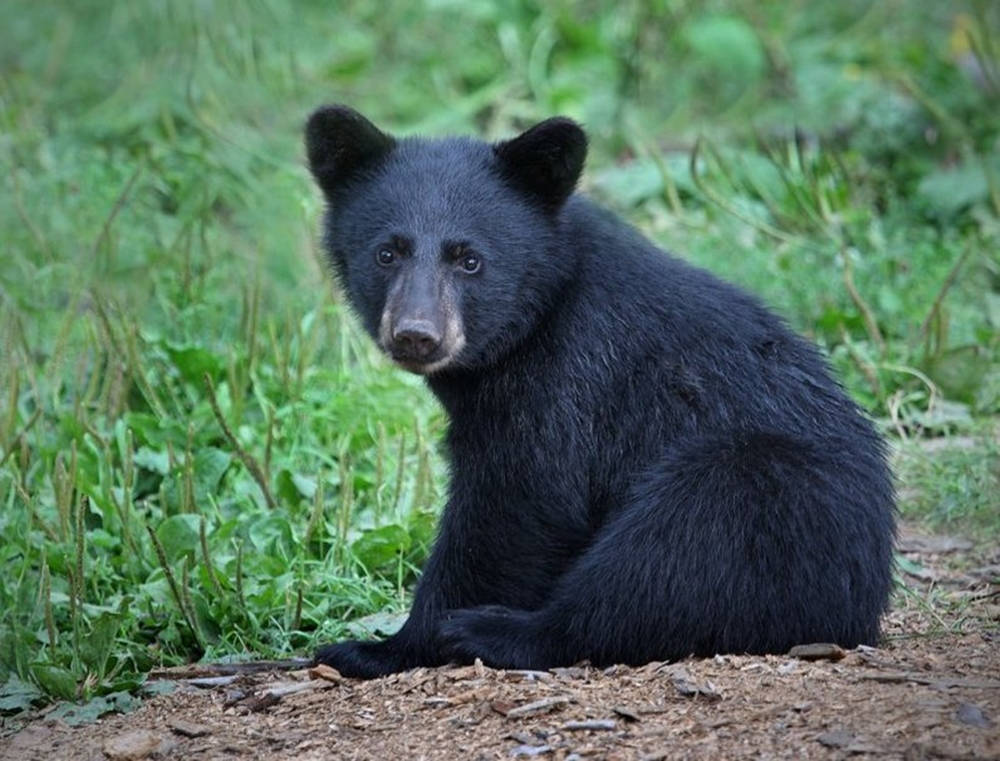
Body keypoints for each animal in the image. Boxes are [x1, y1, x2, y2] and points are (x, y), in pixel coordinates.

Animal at [304, 105, 896, 679]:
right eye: (387, 253)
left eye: (469, 259)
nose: (417, 334)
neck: (540, 313)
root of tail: (865, 601)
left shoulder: (567, 380)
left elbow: (517, 505)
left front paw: (383, 647)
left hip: (766, 487)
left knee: (669, 554)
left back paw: (497, 631)